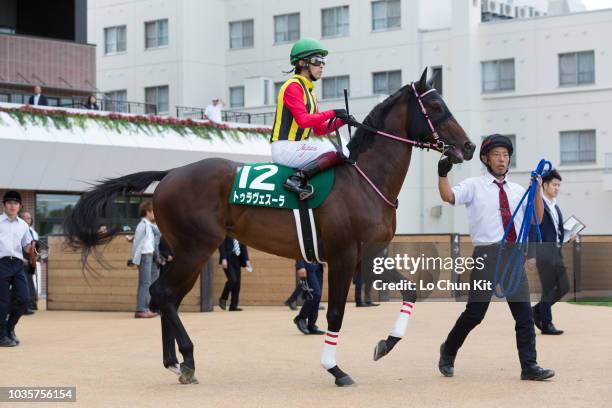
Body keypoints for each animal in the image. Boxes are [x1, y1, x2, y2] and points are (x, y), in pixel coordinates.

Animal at [63, 68, 474, 388]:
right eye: (436, 107)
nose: (469, 147)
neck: (364, 179)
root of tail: (170, 174)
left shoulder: (369, 257)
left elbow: (411, 292)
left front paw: (386, 344)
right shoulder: (343, 256)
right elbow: (335, 314)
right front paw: (335, 368)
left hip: (189, 251)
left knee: (166, 295)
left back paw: (177, 363)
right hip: (197, 247)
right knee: (162, 293)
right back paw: (188, 359)